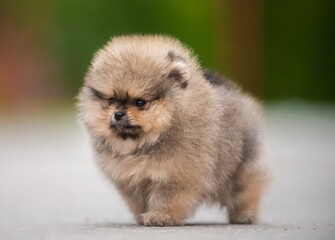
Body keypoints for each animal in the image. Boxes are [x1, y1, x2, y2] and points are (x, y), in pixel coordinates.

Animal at [77, 34, 270, 226]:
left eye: (140, 103)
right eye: (111, 100)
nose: (118, 114)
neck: (146, 142)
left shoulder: (175, 176)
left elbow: (167, 199)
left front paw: (160, 216)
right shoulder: (131, 180)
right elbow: (139, 201)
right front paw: (143, 216)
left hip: (242, 164)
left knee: (246, 188)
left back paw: (244, 215)